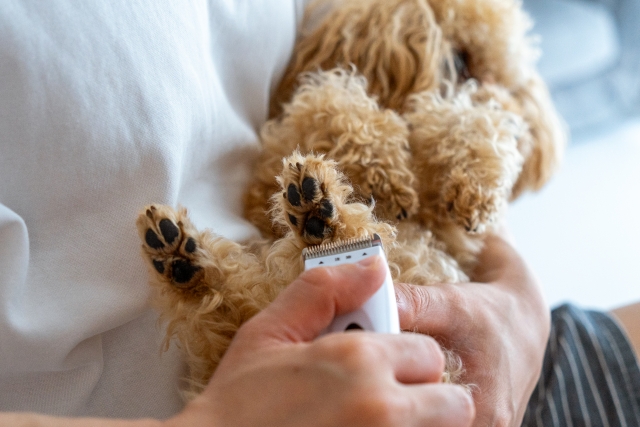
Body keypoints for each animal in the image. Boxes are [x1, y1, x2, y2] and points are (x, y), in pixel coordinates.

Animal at [136, 0, 564, 396]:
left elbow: (470, 124)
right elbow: (330, 99)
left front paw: (473, 183)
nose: (521, 121)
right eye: (460, 61)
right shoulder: (263, 183)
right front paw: (386, 165)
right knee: (230, 311)